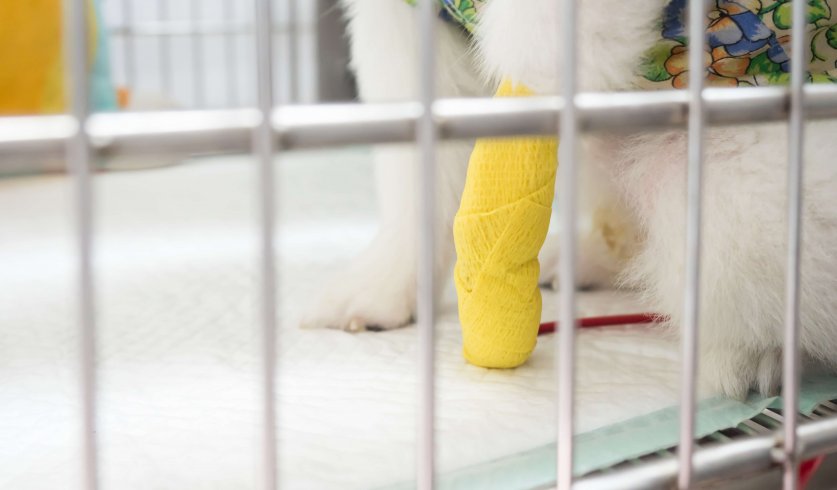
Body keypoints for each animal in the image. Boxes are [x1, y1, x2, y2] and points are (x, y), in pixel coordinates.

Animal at [306, 0, 836, 398]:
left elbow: (531, 69)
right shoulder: (402, 25)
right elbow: (416, 177)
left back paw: (754, 355)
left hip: (726, 173)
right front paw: (384, 286)